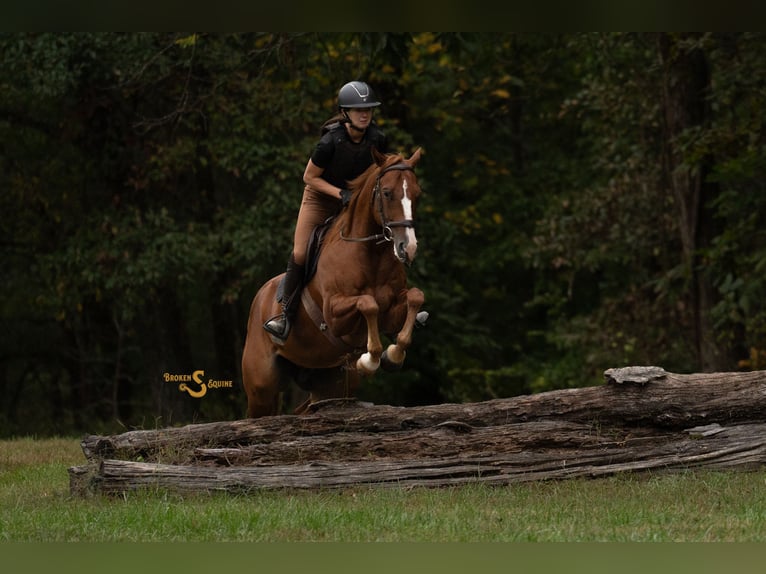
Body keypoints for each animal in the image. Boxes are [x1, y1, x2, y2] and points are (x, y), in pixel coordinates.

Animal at [241, 148, 426, 418]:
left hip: (328, 382)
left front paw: (392, 356)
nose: (408, 248)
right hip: (261, 388)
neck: (371, 254)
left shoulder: (392, 310)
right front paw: (369, 360)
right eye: (387, 193)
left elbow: (415, 296)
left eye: (416, 194)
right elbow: (368, 303)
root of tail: (259, 298)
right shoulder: (334, 314)